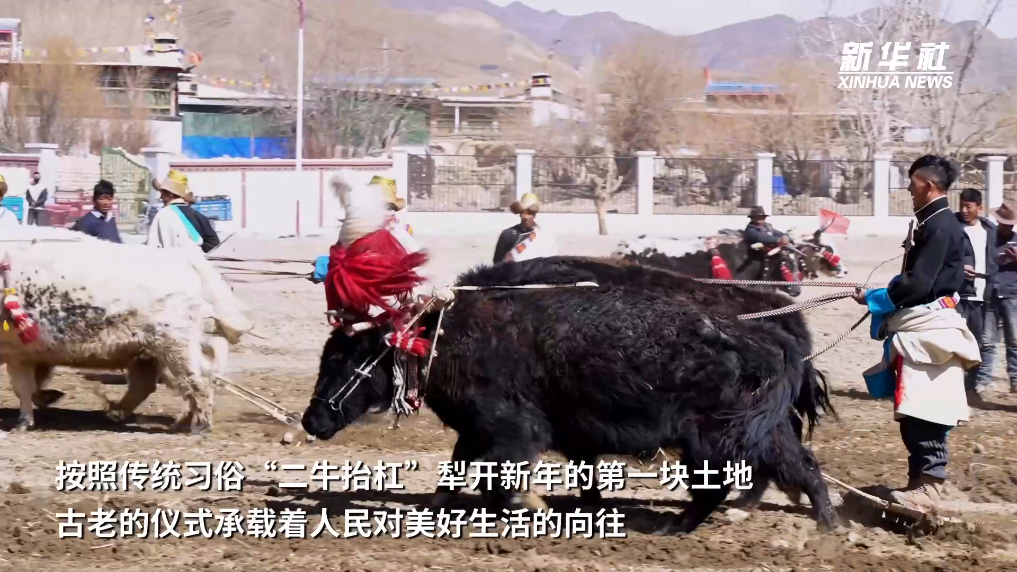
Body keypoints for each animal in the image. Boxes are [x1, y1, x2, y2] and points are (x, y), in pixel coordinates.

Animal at [0, 225, 252, 433]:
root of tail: (185, 259)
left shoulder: (16, 354)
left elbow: (22, 387)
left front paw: (22, 423)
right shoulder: (31, 353)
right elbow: (32, 386)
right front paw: (45, 401)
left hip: (174, 346)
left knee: (196, 381)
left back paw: (199, 426)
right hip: (153, 353)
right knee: (162, 383)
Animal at [302, 256, 837, 534]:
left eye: (345, 359)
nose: (312, 420)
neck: (445, 336)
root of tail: (774, 332)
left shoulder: (515, 432)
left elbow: (496, 477)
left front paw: (531, 507)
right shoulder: (494, 432)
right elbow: (460, 471)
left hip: (713, 439)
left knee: (728, 483)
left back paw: (680, 527)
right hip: (759, 432)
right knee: (800, 465)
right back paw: (826, 525)